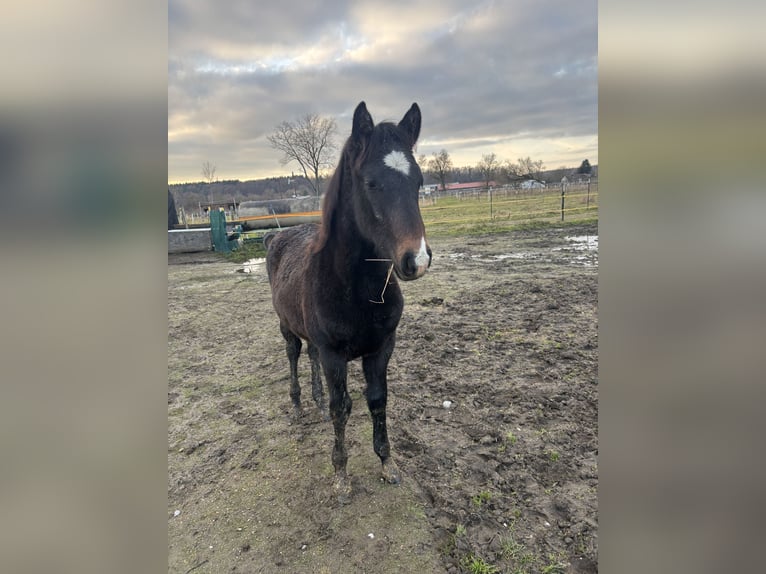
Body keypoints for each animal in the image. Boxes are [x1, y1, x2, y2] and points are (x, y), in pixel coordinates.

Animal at [265, 101, 432, 503]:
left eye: (419, 182)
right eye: (370, 183)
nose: (417, 260)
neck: (358, 290)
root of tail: (277, 237)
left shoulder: (382, 347)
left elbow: (377, 400)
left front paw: (388, 463)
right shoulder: (334, 355)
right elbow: (342, 407)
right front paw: (341, 476)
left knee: (309, 357)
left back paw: (315, 401)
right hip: (286, 327)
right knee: (294, 354)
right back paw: (298, 404)